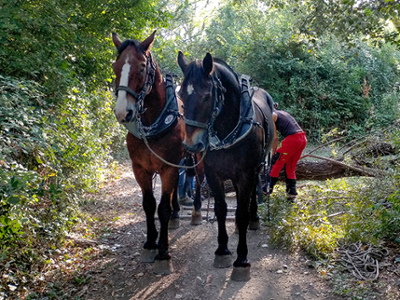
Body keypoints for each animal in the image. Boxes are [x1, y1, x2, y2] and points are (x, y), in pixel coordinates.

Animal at [111, 31, 203, 276]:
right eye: (115, 66)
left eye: (142, 67)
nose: (123, 112)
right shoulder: (140, 168)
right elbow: (149, 204)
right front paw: (150, 243)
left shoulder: (168, 167)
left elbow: (161, 208)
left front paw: (163, 252)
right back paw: (176, 214)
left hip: (197, 157)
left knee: (198, 179)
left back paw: (196, 212)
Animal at [177, 52, 276, 282]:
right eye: (181, 96)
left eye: (206, 96)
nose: (192, 145)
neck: (229, 129)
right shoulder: (214, 175)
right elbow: (221, 209)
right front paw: (222, 251)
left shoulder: (246, 174)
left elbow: (240, 213)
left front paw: (242, 260)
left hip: (256, 168)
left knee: (251, 195)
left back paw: (253, 218)